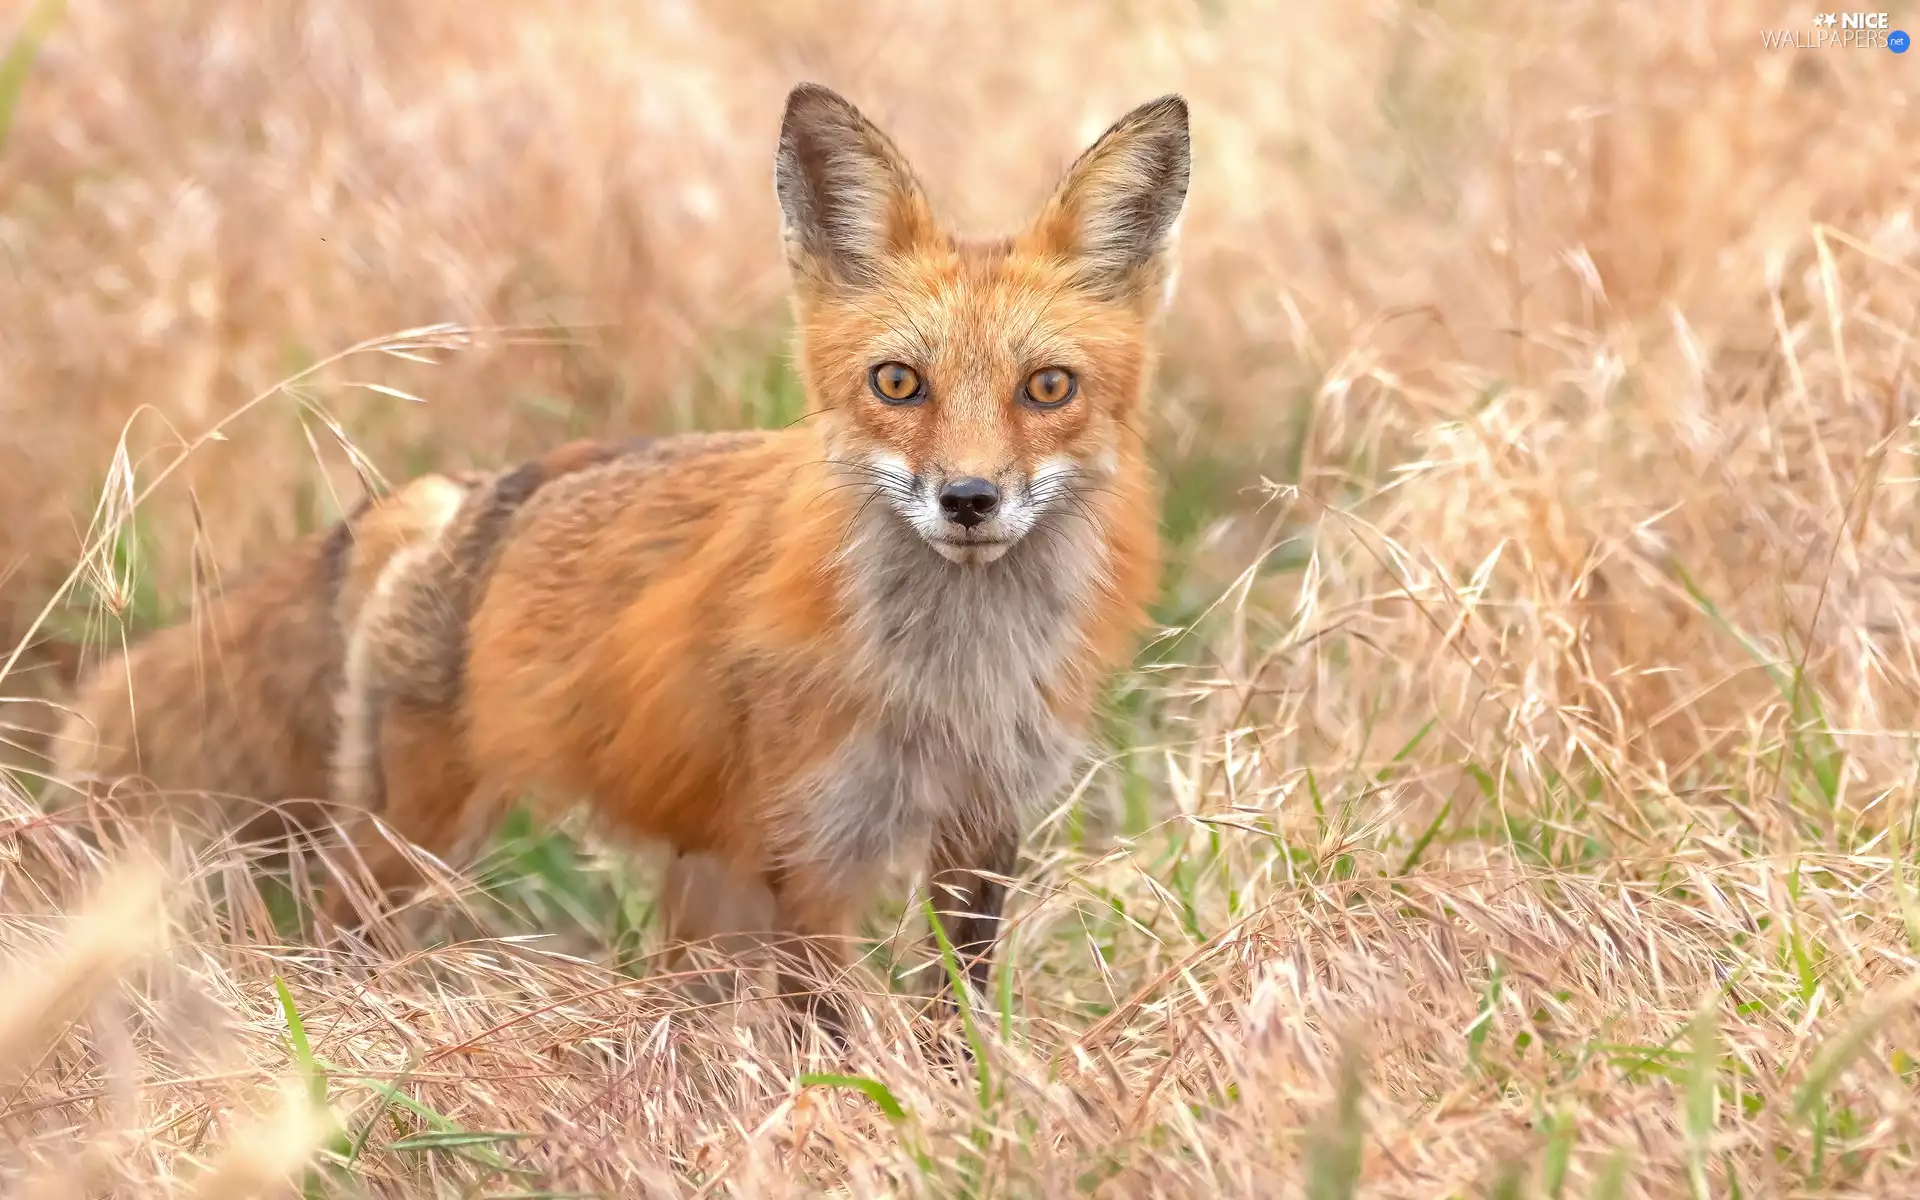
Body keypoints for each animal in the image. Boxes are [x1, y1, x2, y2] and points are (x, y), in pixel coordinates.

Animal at [325, 83, 1189, 1039]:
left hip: (700, 894)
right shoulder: (811, 849)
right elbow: (829, 1031)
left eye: (1048, 387)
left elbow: (950, 1016)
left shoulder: (983, 830)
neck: (951, 682)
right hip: (419, 847)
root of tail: (466, 494)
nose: (969, 499)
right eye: (897, 383)